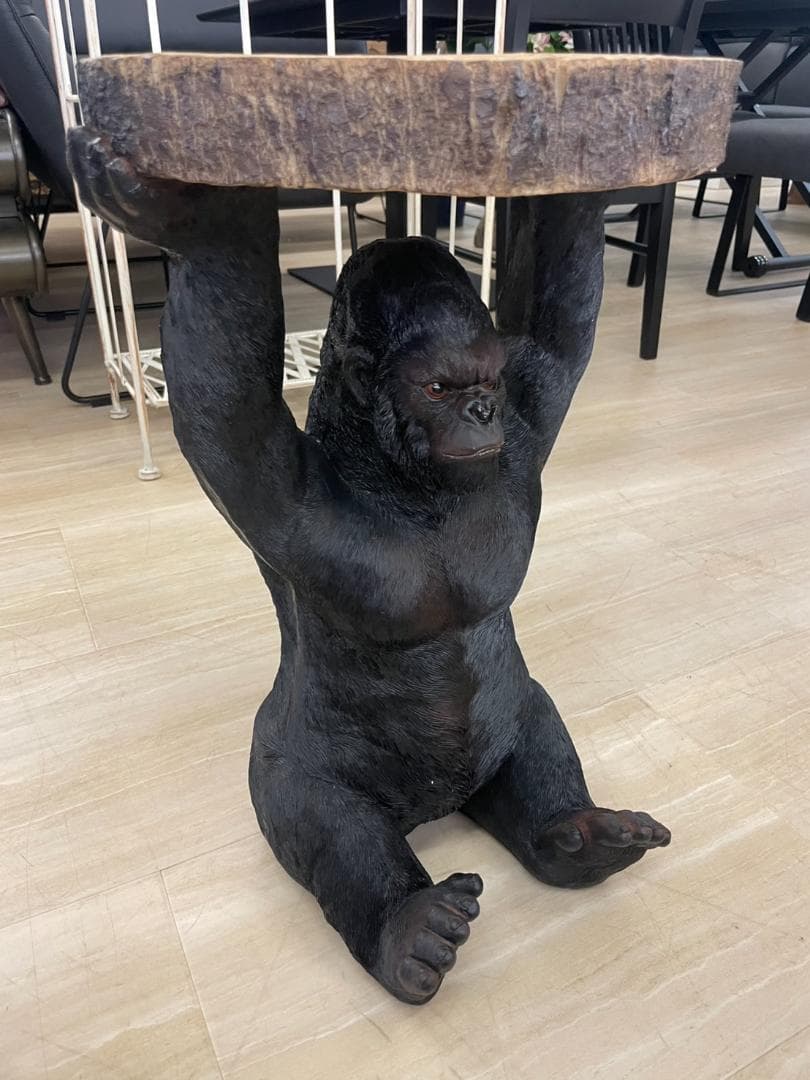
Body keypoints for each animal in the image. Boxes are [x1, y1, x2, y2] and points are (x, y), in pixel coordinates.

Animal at [68, 129, 670, 1006]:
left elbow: (563, 325)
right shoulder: (282, 484)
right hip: (286, 767)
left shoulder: (530, 409)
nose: (481, 412)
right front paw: (204, 224)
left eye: (485, 382)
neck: (407, 484)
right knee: (333, 827)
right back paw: (406, 931)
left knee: (535, 732)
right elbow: (223, 393)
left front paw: (587, 187)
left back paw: (579, 837)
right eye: (440, 387)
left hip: (513, 717)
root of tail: (441, 809)